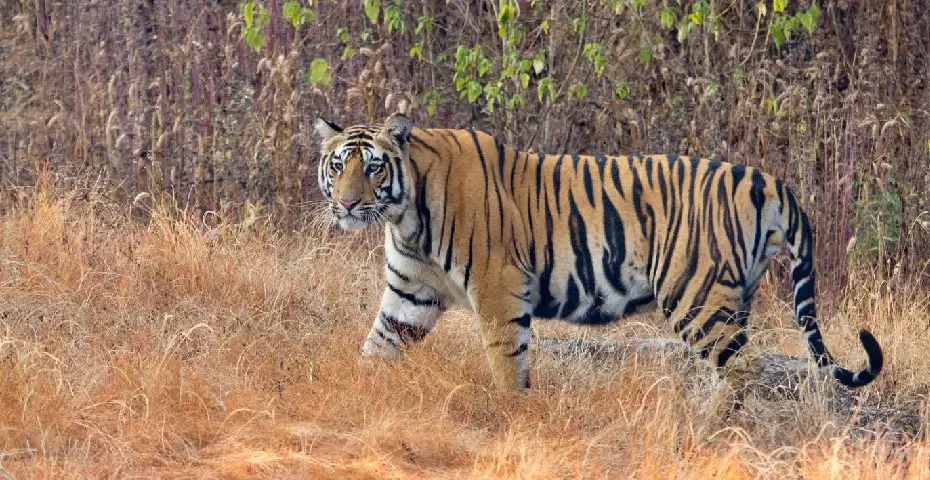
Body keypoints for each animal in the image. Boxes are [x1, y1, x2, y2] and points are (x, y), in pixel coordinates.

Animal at [313, 111, 883, 393]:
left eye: (373, 167)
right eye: (338, 165)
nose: (347, 203)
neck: (405, 216)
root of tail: (769, 179)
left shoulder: (499, 291)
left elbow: (506, 364)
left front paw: (510, 413)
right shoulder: (410, 296)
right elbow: (376, 350)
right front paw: (356, 399)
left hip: (694, 296)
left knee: (740, 367)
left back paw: (709, 428)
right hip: (732, 296)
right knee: (732, 365)